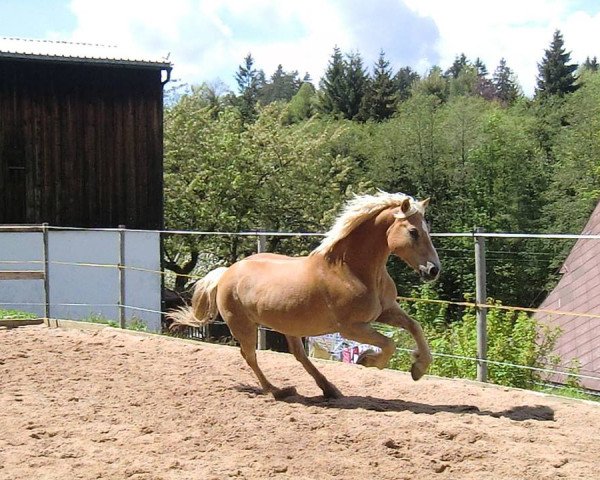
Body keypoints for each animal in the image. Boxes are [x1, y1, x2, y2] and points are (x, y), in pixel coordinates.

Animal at [169, 189, 440, 400]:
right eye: (414, 232)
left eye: (428, 230)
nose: (433, 270)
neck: (351, 270)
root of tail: (226, 272)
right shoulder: (350, 328)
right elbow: (390, 344)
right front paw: (367, 359)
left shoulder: (386, 311)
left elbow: (414, 327)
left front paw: (418, 367)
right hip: (243, 325)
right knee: (250, 356)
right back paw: (279, 391)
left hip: (288, 325)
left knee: (298, 355)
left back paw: (329, 389)